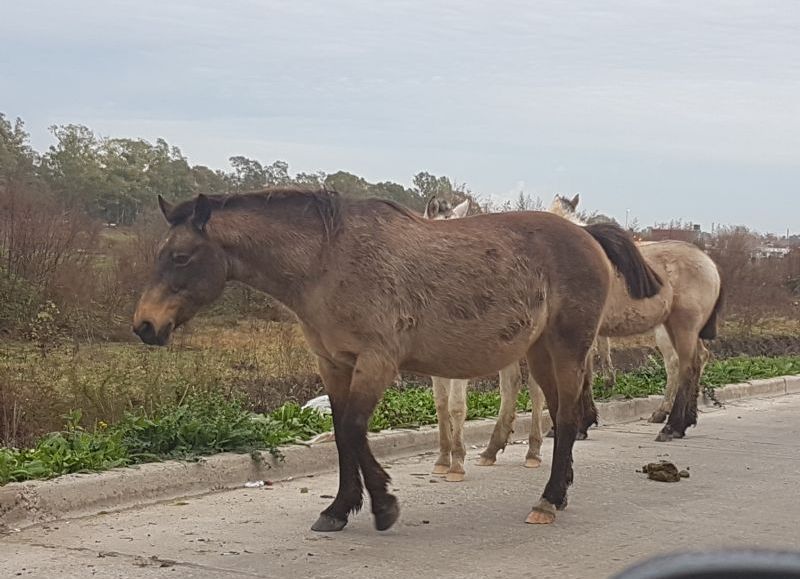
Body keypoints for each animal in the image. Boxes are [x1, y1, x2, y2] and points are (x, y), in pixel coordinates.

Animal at [133, 188, 664, 532]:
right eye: (160, 252)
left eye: (181, 257)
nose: (145, 325)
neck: (328, 259)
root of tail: (588, 235)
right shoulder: (334, 364)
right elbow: (343, 435)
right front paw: (339, 509)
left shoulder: (376, 361)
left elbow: (352, 430)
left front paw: (383, 506)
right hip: (539, 352)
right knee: (560, 414)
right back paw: (561, 488)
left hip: (568, 347)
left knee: (570, 417)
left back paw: (548, 501)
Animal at [428, 194, 720, 480]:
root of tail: (710, 264)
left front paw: (576, 425)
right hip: (673, 328)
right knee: (690, 362)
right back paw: (677, 419)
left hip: (681, 327)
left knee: (685, 366)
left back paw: (672, 425)